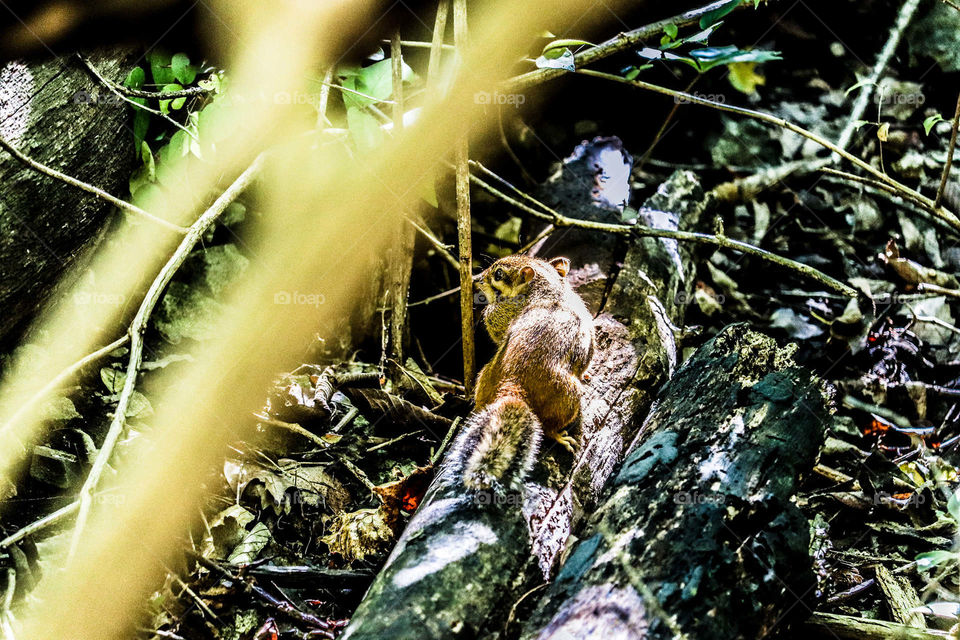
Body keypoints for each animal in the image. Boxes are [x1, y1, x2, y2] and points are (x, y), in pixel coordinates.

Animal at [446, 254, 595, 494]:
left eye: (498, 274)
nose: (476, 279)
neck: (552, 288)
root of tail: (513, 385)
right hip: (571, 395)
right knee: (548, 427)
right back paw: (560, 437)